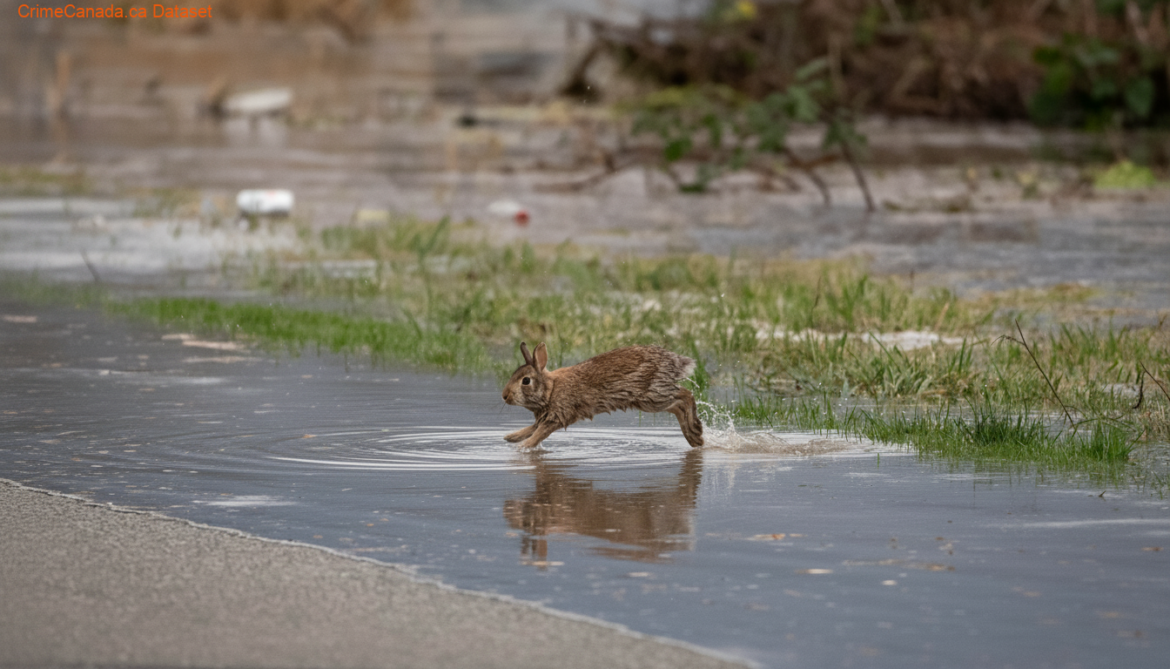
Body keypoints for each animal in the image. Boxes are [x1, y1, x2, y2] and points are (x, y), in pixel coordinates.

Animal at [501, 341, 704, 449]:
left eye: (526, 381)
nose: (504, 396)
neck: (550, 390)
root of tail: (675, 362)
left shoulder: (557, 416)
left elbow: (538, 434)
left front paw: (522, 447)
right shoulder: (543, 418)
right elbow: (531, 429)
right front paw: (510, 438)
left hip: (652, 397)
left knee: (685, 396)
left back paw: (695, 433)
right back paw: (694, 437)